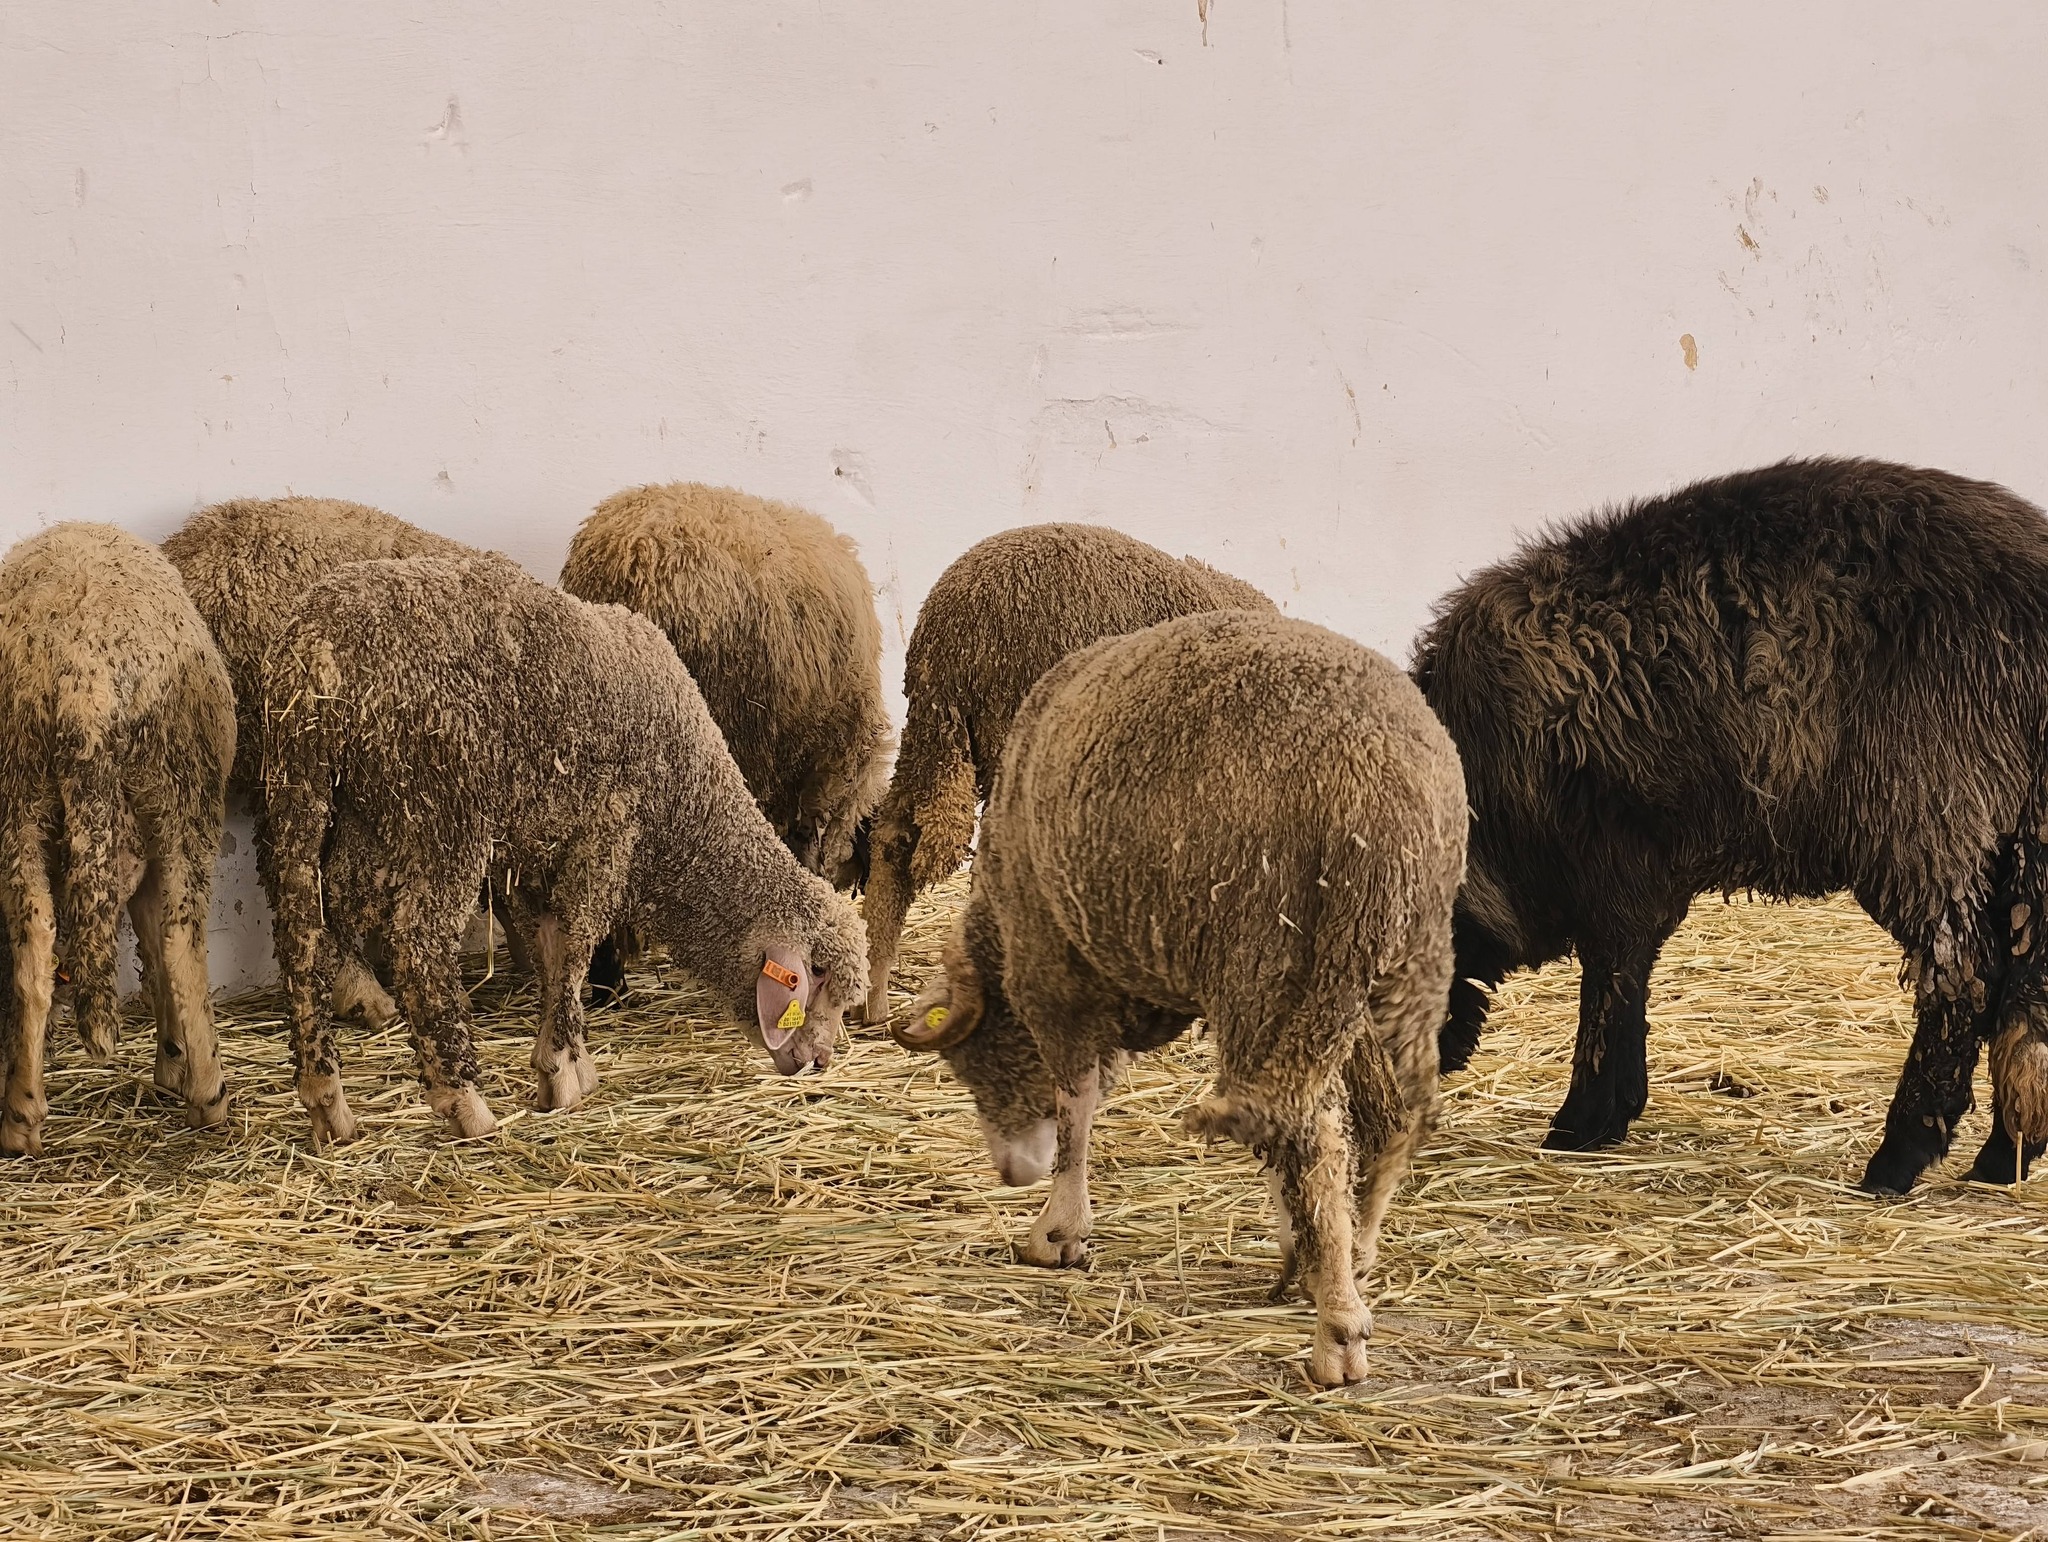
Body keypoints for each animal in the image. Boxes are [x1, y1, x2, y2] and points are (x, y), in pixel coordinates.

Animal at [0, 524, 235, 1153]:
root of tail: (85, 676)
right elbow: (156, 939)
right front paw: (175, 1061)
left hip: (17, 792)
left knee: (34, 941)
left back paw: (21, 1114)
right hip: (184, 790)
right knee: (182, 938)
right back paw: (209, 1095)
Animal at [263, 553, 867, 1147]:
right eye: (818, 982)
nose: (819, 1061)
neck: (685, 808)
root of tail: (319, 645)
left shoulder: (541, 854)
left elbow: (554, 948)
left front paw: (570, 1061)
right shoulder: (608, 836)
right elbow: (576, 949)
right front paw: (559, 1073)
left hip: (329, 799)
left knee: (308, 936)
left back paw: (326, 1100)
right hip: (442, 812)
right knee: (418, 946)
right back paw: (464, 1101)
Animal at [892, 609, 1465, 1387]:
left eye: (972, 1061)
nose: (1009, 1174)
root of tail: (1378, 790)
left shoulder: (1051, 964)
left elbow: (1076, 1105)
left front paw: (1058, 1230)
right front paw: (1318, 1243)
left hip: (1273, 966)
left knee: (1308, 1135)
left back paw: (1336, 1332)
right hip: (1399, 968)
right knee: (1393, 1114)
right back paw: (1354, 1254)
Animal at [1411, 457, 2048, 1195]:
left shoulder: (1613, 860)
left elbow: (1609, 977)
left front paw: (1581, 1122)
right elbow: (1628, 974)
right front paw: (1611, 1112)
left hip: (1924, 813)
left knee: (1964, 977)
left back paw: (1899, 1158)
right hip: (2024, 828)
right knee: (2026, 988)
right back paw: (2004, 1157)